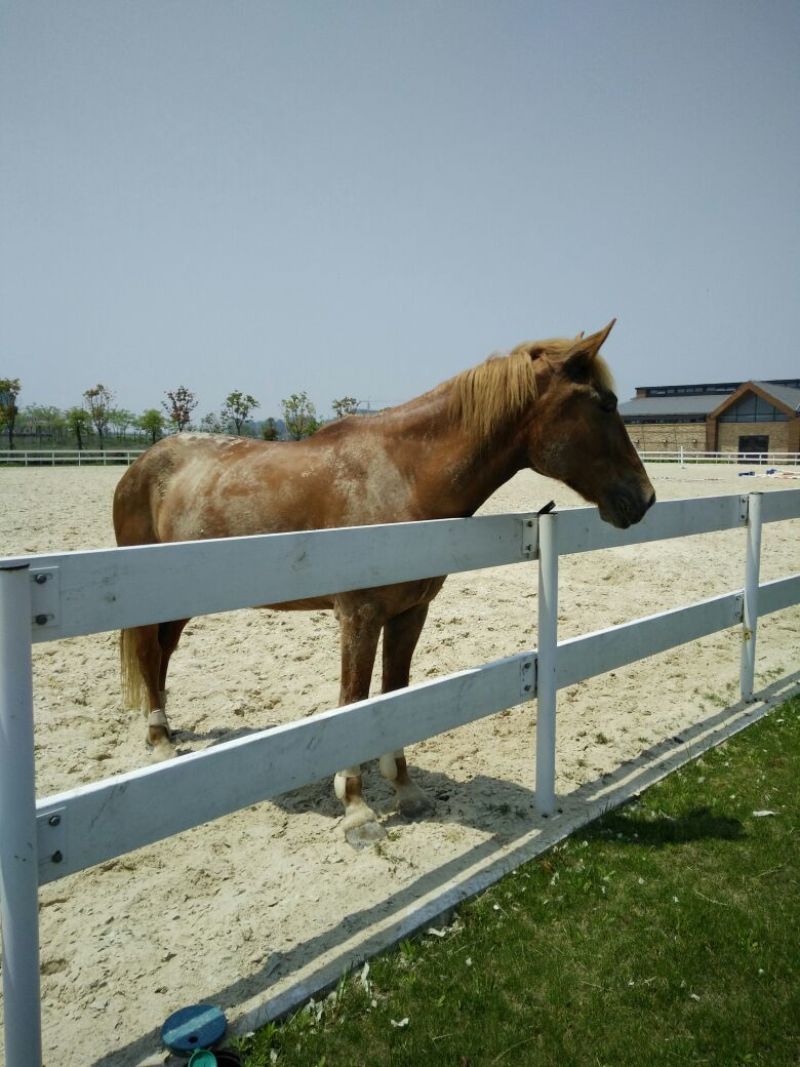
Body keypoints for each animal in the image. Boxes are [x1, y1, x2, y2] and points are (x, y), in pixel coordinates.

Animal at [113, 320, 655, 845]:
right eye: (605, 404)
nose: (644, 498)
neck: (402, 478)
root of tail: (141, 465)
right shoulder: (359, 616)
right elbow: (353, 701)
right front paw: (356, 809)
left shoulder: (410, 613)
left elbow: (396, 694)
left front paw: (406, 791)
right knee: (148, 651)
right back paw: (160, 742)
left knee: (160, 654)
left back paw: (166, 733)